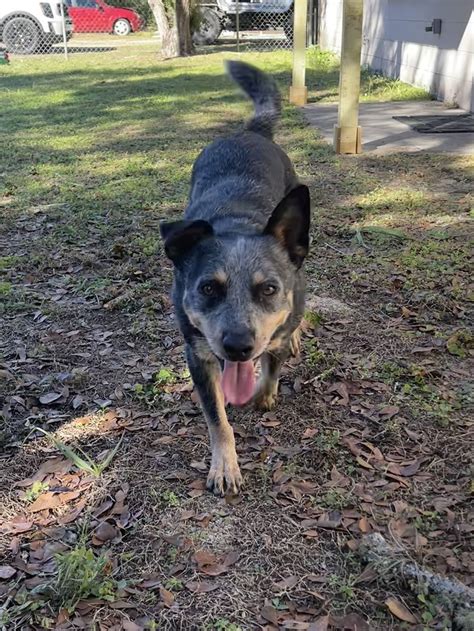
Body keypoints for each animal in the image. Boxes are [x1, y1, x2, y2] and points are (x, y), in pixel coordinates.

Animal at [161, 61, 312, 496]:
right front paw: (225, 466)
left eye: (269, 289)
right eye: (208, 288)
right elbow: (217, 420)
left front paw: (264, 393)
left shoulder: (276, 328)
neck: (237, 225)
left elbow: (273, 366)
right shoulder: (197, 355)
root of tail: (250, 131)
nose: (239, 347)